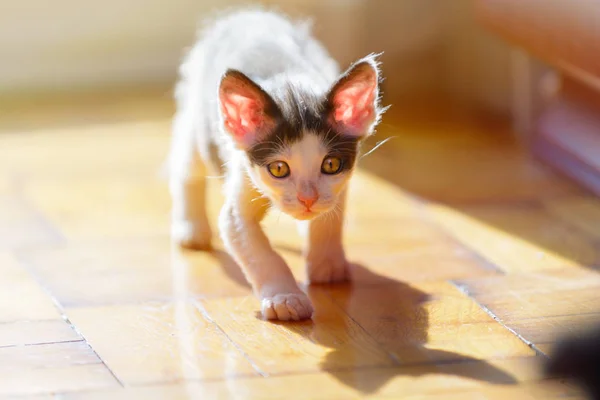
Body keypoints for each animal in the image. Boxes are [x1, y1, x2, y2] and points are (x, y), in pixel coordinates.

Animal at [169, 8, 384, 322]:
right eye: (279, 169)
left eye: (331, 164)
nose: (308, 199)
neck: (289, 84)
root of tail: (248, 13)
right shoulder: (240, 183)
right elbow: (258, 250)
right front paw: (286, 299)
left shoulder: (339, 187)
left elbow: (329, 219)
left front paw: (326, 264)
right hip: (196, 114)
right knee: (187, 166)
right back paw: (191, 227)